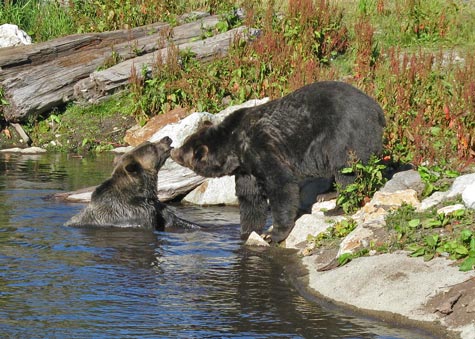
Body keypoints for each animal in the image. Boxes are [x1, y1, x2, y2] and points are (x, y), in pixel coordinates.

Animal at [65, 137, 197, 232]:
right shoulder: (134, 215)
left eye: (148, 141)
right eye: (151, 147)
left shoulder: (157, 209)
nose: (167, 138)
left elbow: (175, 220)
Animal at [171, 81, 386, 243]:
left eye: (184, 149)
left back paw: (336, 206)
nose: (172, 150)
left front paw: (273, 233)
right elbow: (250, 198)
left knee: (346, 169)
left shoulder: (262, 147)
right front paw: (248, 231)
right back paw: (326, 194)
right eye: (185, 143)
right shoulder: (246, 167)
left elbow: (280, 184)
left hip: (344, 133)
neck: (235, 147)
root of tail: (377, 109)